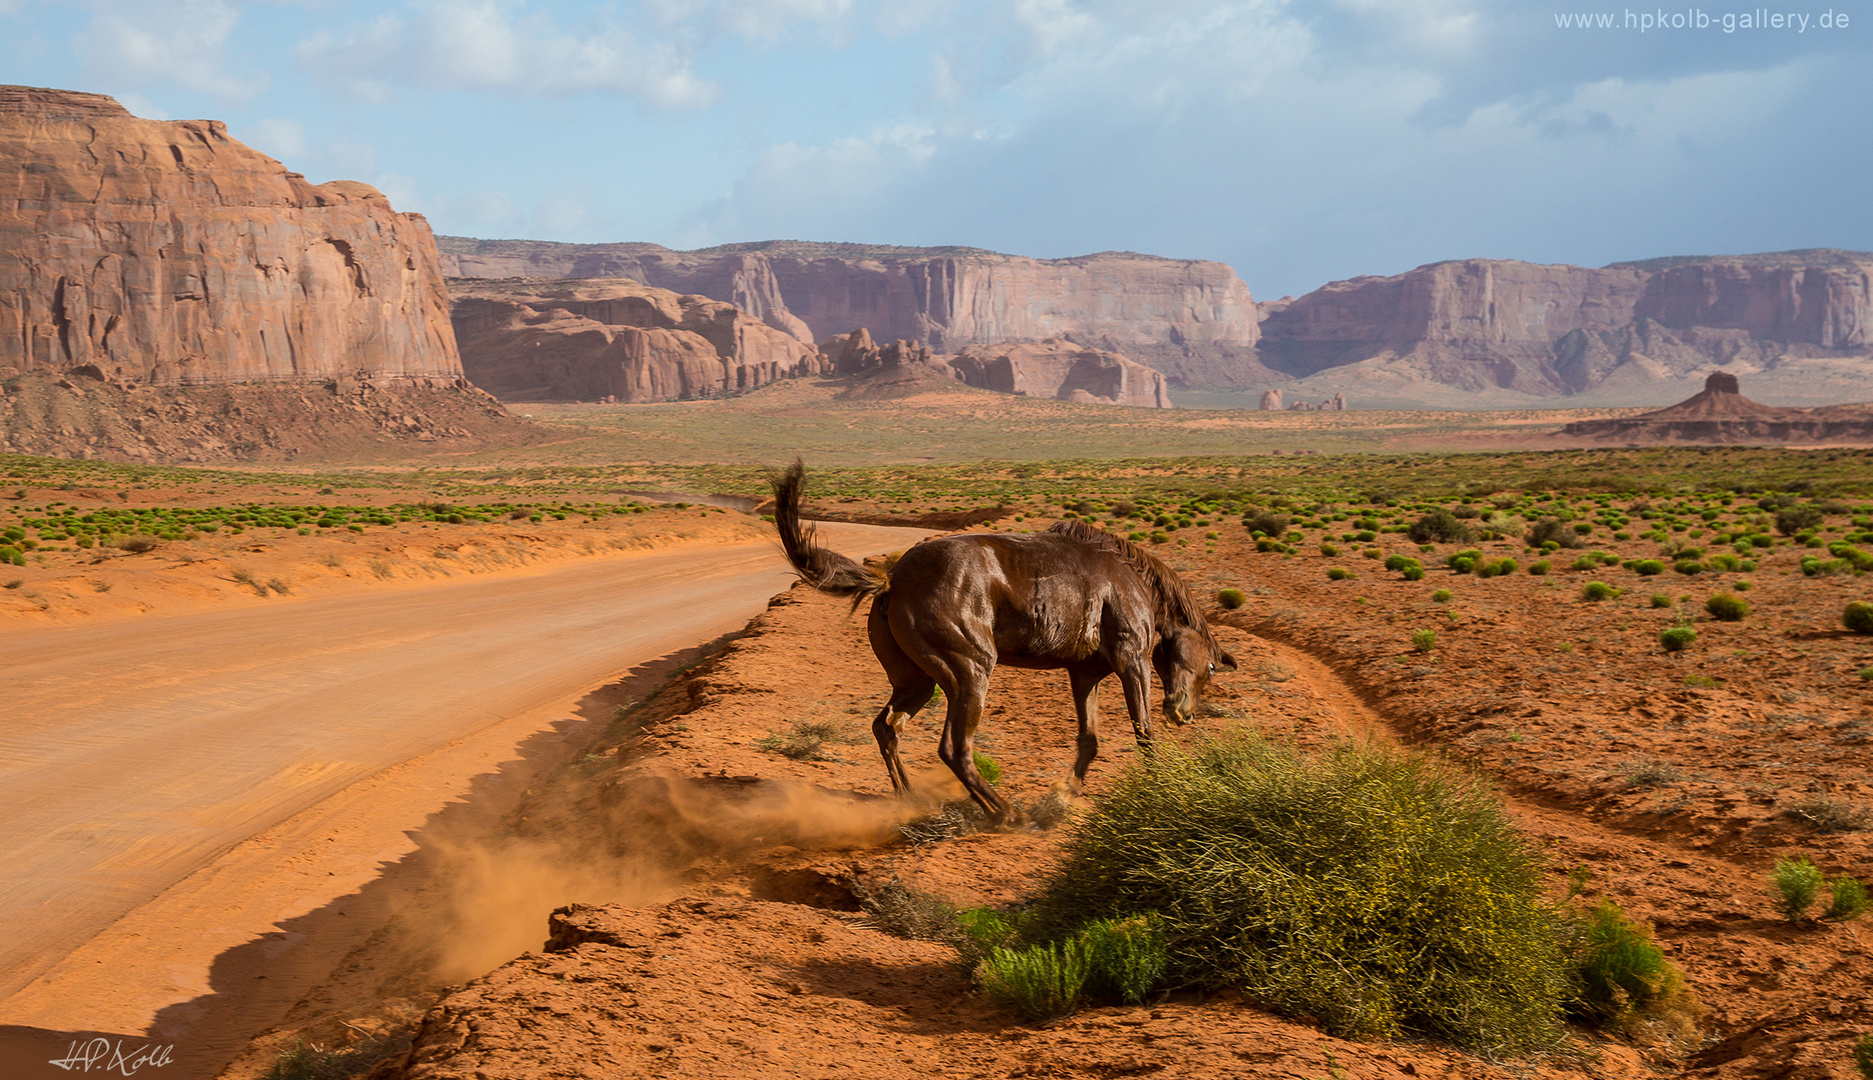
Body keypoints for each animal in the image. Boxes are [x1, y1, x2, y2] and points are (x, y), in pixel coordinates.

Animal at [767, 458, 1236, 819]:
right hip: (970, 672)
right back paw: (1008, 814)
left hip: (918, 681)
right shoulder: (1132, 661)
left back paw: (911, 800)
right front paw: (1157, 788)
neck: (1130, 581)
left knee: (887, 728)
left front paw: (1062, 798)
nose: (1184, 713)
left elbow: (1090, 740)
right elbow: (1143, 732)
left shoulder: (1085, 674)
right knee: (954, 748)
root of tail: (891, 581)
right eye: (1211, 667)